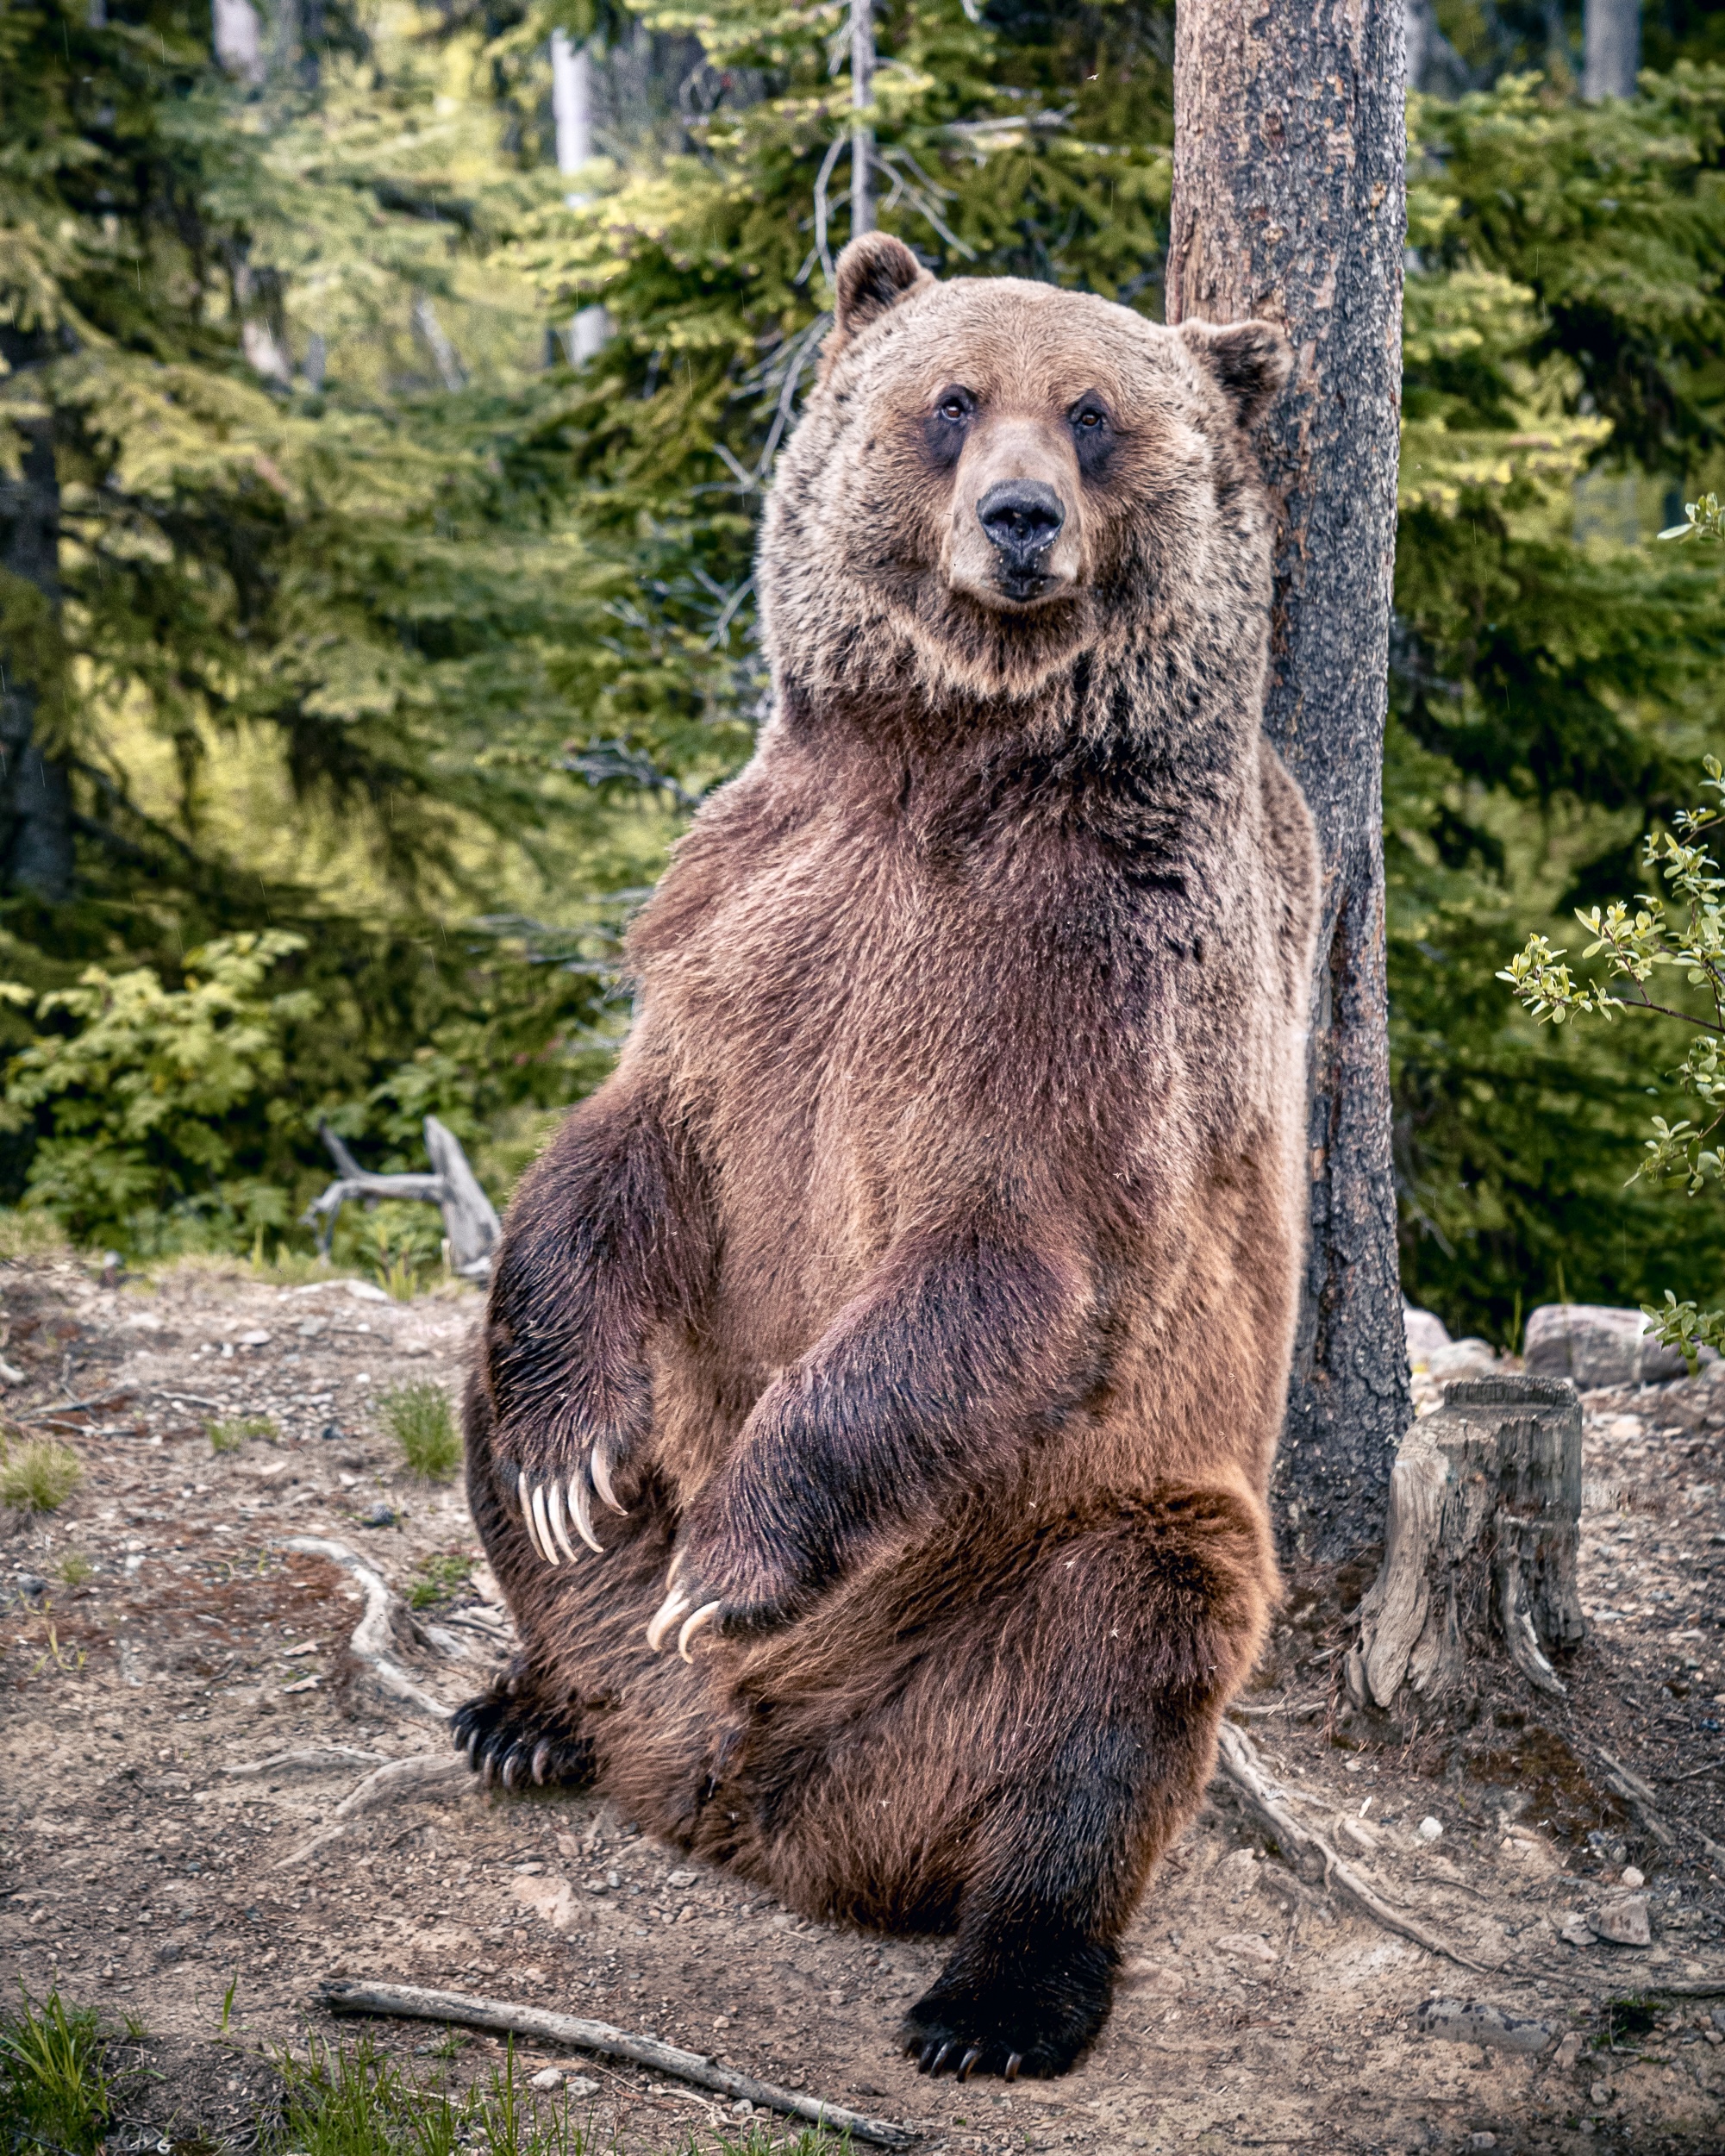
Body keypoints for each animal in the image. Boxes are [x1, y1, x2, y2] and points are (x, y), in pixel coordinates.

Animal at [450, 231, 1310, 2086]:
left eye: (1096, 412)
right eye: (951, 399)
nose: (1020, 518)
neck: (943, 764)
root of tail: (729, 1788)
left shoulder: (1092, 973)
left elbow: (1010, 1259)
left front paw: (730, 1557)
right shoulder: (751, 912)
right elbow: (624, 1147)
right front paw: (566, 1456)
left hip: (1050, 1557)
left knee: (1117, 1673)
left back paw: (999, 1988)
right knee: (486, 1426)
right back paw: (529, 1701)